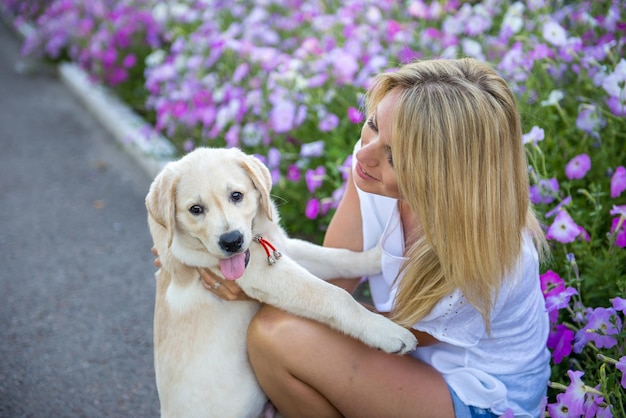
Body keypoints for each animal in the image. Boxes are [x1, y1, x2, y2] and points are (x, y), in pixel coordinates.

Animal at [146, 147, 416, 418]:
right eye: (196, 209)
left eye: (236, 195)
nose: (231, 241)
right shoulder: (264, 273)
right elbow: (334, 295)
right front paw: (388, 332)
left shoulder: (283, 248)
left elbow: (339, 257)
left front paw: (378, 258)